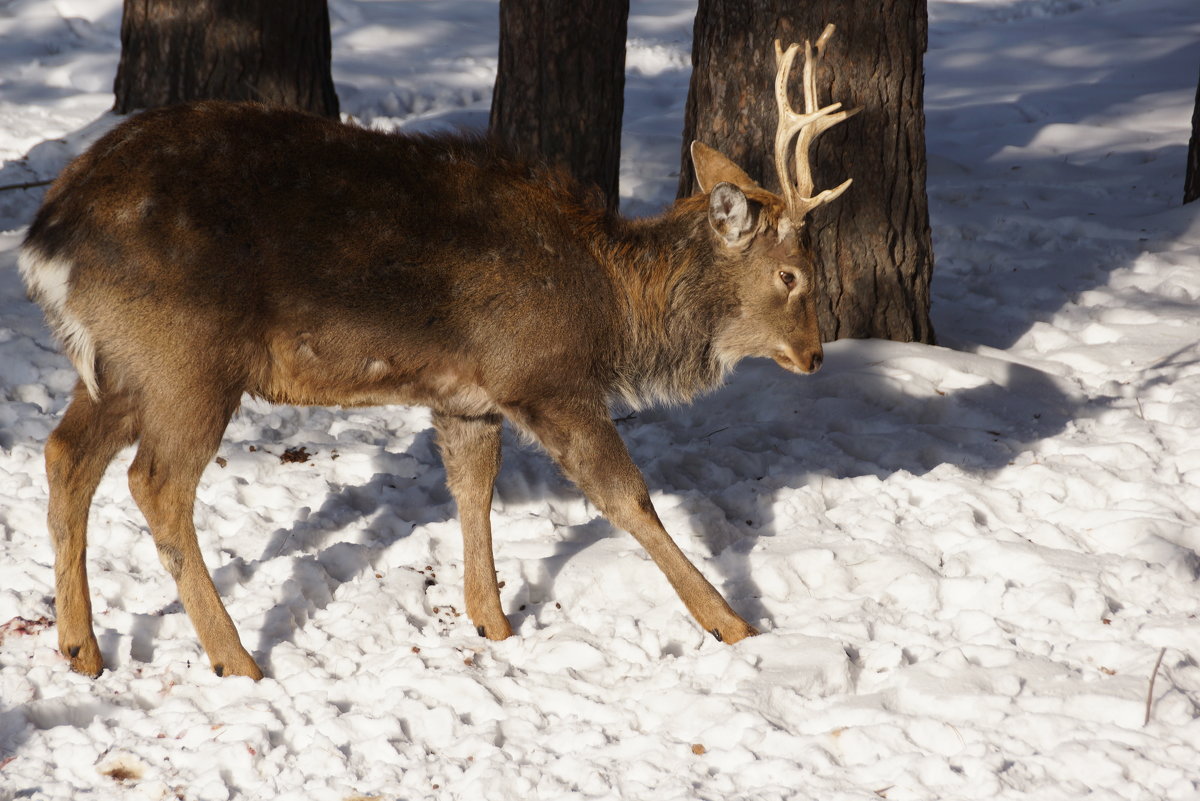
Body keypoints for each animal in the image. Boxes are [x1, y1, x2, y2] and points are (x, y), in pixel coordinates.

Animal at [16, 25, 854, 681]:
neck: (612, 306)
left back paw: (82, 649)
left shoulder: (467, 396)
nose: (817, 356)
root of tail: (46, 237)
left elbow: (471, 492)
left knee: (66, 454)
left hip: (120, 362)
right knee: (154, 482)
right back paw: (237, 659)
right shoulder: (543, 373)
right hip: (186, 355)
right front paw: (734, 623)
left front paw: (493, 622)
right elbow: (628, 497)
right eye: (791, 275)